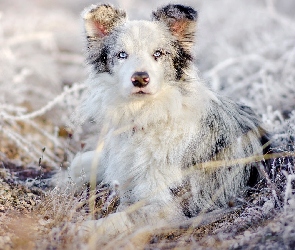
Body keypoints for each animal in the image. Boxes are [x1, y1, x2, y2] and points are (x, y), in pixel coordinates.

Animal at [62, 2, 272, 235]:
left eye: (158, 53)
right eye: (122, 54)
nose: (140, 78)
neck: (144, 116)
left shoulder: (167, 207)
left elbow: (120, 218)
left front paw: (81, 229)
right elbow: (78, 163)